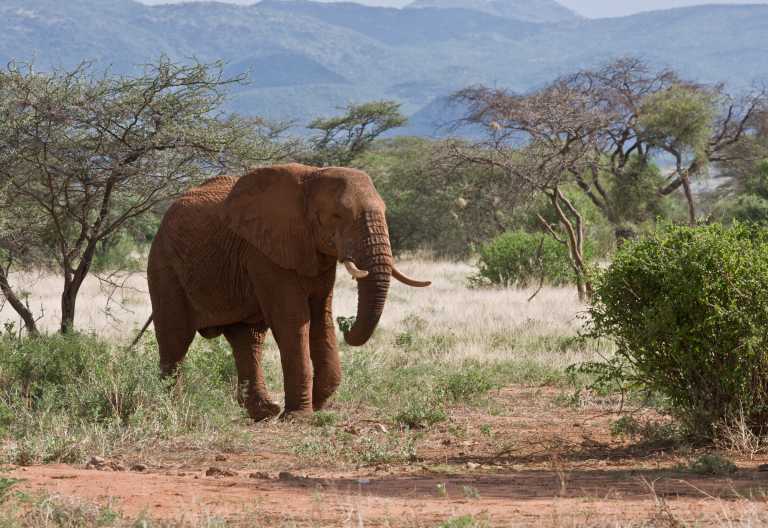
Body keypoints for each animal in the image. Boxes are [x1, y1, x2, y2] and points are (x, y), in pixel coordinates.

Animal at [146, 163, 431, 421]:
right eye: (337, 215)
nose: (347, 327)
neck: (313, 175)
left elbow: (321, 317)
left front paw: (316, 405)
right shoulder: (264, 252)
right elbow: (292, 320)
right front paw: (300, 416)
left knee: (247, 339)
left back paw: (264, 412)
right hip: (164, 266)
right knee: (175, 338)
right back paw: (173, 410)